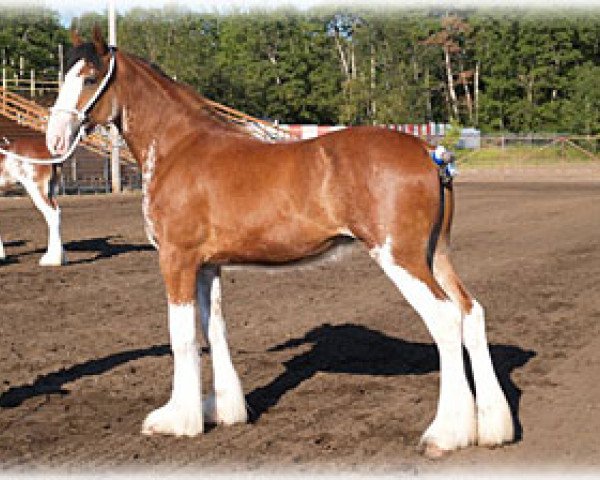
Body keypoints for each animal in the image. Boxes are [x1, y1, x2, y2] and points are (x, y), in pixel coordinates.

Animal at [47, 28, 512, 460]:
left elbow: (182, 336)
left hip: (401, 258)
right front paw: (222, 411)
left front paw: (178, 420)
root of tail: (430, 152)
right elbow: (213, 328)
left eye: (89, 78)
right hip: (436, 256)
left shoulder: (176, 260)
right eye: (64, 75)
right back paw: (493, 427)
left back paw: (445, 434)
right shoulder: (208, 266)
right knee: (471, 314)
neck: (179, 147)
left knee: (446, 321)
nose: (54, 141)